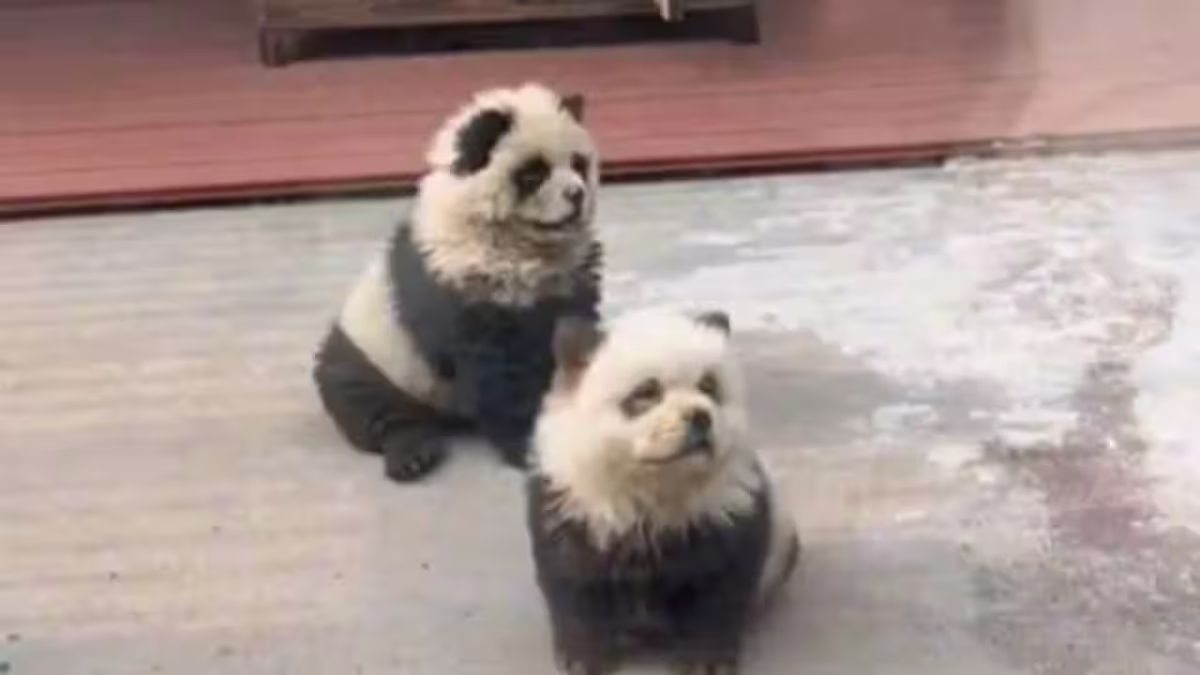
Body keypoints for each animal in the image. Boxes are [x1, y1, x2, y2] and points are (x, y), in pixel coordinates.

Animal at [313, 83, 602, 483]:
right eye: (534, 173)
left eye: (578, 164)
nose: (576, 194)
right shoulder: (461, 280)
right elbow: (499, 372)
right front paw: (527, 442)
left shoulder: (571, 278)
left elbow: (578, 330)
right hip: (373, 352)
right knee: (365, 401)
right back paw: (411, 454)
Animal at [526, 310, 799, 675]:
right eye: (646, 391)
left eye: (708, 385)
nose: (700, 417)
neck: (656, 486)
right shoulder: (573, 504)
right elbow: (573, 580)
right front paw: (583, 657)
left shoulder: (727, 510)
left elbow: (720, 586)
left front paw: (705, 660)